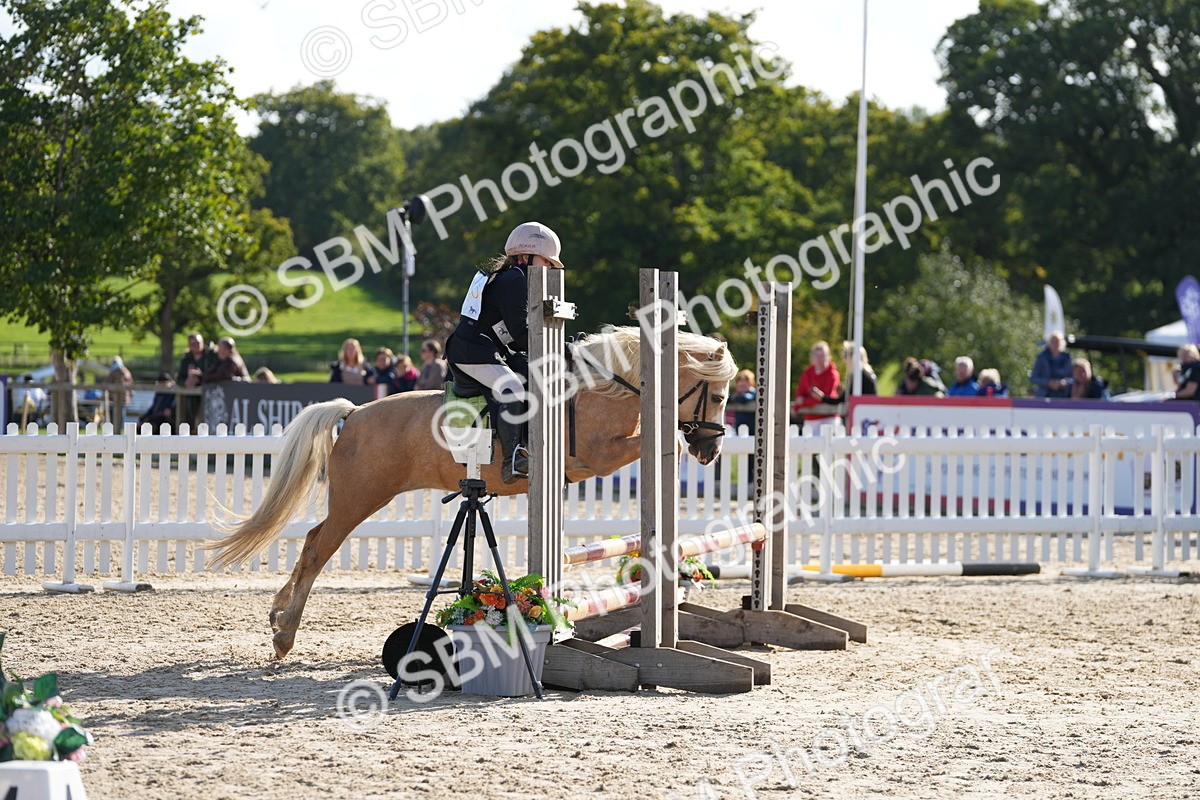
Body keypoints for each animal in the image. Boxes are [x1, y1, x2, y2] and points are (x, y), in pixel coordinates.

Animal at [208, 326, 738, 658]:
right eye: (717, 395)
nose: (711, 450)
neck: (604, 389)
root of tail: (354, 413)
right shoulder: (596, 456)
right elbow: (661, 439)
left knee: (311, 540)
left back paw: (277, 615)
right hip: (360, 498)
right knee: (319, 548)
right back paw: (285, 635)